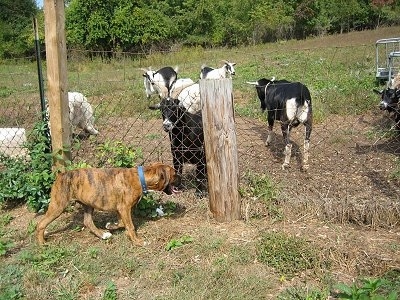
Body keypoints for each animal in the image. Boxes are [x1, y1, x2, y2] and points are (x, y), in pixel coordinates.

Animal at [36, 163, 180, 245]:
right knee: (41, 224)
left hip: (88, 204)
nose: (181, 177)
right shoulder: (124, 208)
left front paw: (111, 226)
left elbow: (122, 223)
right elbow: (131, 226)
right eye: (174, 174)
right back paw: (42, 243)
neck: (141, 178)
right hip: (58, 206)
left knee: (88, 222)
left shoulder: (120, 209)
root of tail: (61, 175)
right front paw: (138, 242)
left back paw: (103, 235)